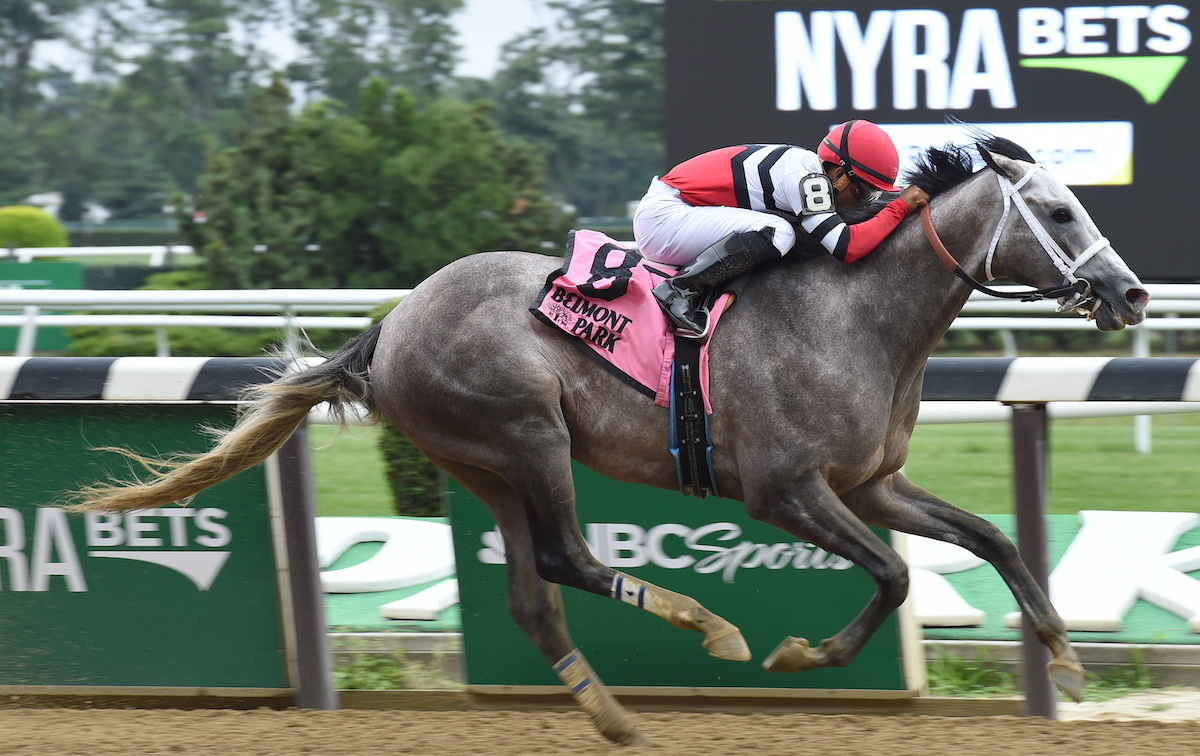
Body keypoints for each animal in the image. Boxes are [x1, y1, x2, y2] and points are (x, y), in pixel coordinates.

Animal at [77, 136, 1152, 748]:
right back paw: (706, 628)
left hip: (484, 464)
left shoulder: (872, 483)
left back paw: (614, 714)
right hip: (527, 434)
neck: (858, 318)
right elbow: (891, 575)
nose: (1134, 293)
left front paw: (1064, 662)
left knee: (532, 595)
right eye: (1060, 211)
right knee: (567, 558)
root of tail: (390, 325)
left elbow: (994, 538)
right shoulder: (787, 490)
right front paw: (801, 653)